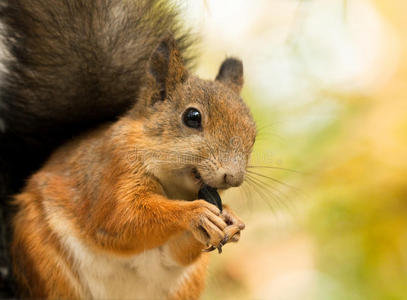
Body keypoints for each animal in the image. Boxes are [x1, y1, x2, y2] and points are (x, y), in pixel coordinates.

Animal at [0, 0, 255, 298]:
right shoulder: (113, 169)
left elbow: (175, 253)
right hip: (44, 260)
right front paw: (195, 213)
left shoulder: (171, 252)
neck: (175, 188)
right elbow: (123, 219)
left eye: (253, 133)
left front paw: (231, 217)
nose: (233, 177)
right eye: (192, 117)